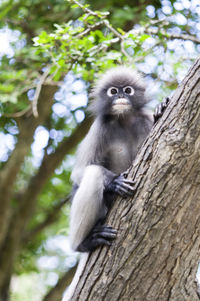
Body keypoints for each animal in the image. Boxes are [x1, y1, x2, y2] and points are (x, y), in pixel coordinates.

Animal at [69, 67, 169, 252]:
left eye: (128, 90)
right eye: (113, 91)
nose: (121, 96)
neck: (124, 119)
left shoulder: (144, 119)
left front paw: (161, 107)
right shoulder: (100, 126)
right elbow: (79, 172)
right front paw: (114, 182)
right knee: (93, 174)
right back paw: (83, 243)